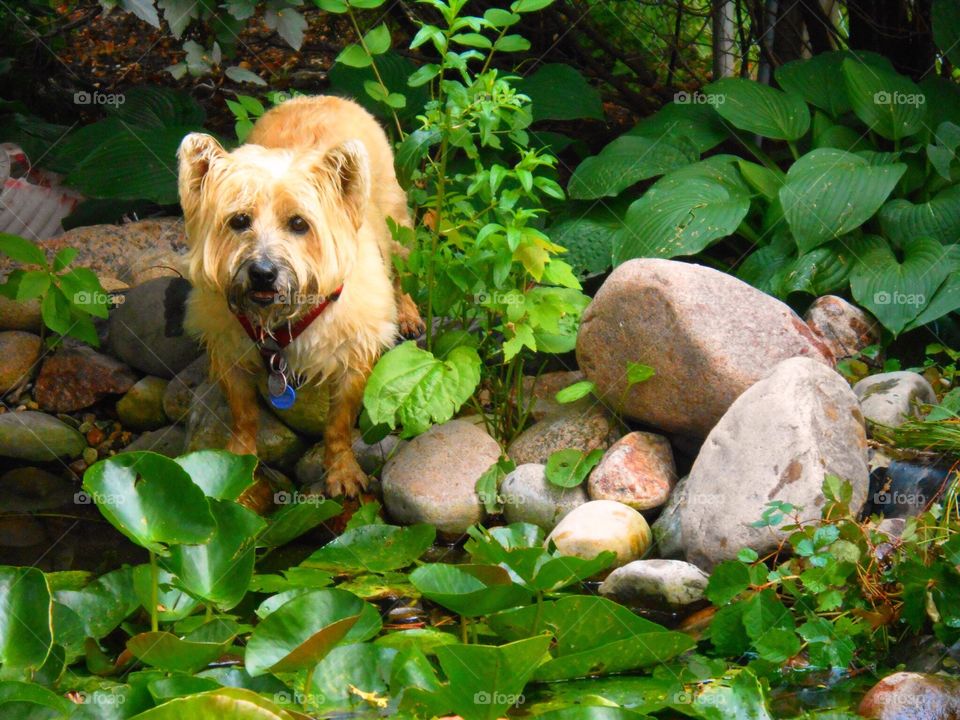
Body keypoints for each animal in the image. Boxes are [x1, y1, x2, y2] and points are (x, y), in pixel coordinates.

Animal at [177, 95, 424, 498]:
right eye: (239, 220)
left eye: (298, 224)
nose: (263, 272)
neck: (280, 319)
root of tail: (321, 97)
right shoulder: (229, 347)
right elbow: (243, 413)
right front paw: (236, 463)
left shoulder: (355, 354)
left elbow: (339, 422)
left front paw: (341, 470)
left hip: (396, 224)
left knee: (402, 269)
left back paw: (407, 312)